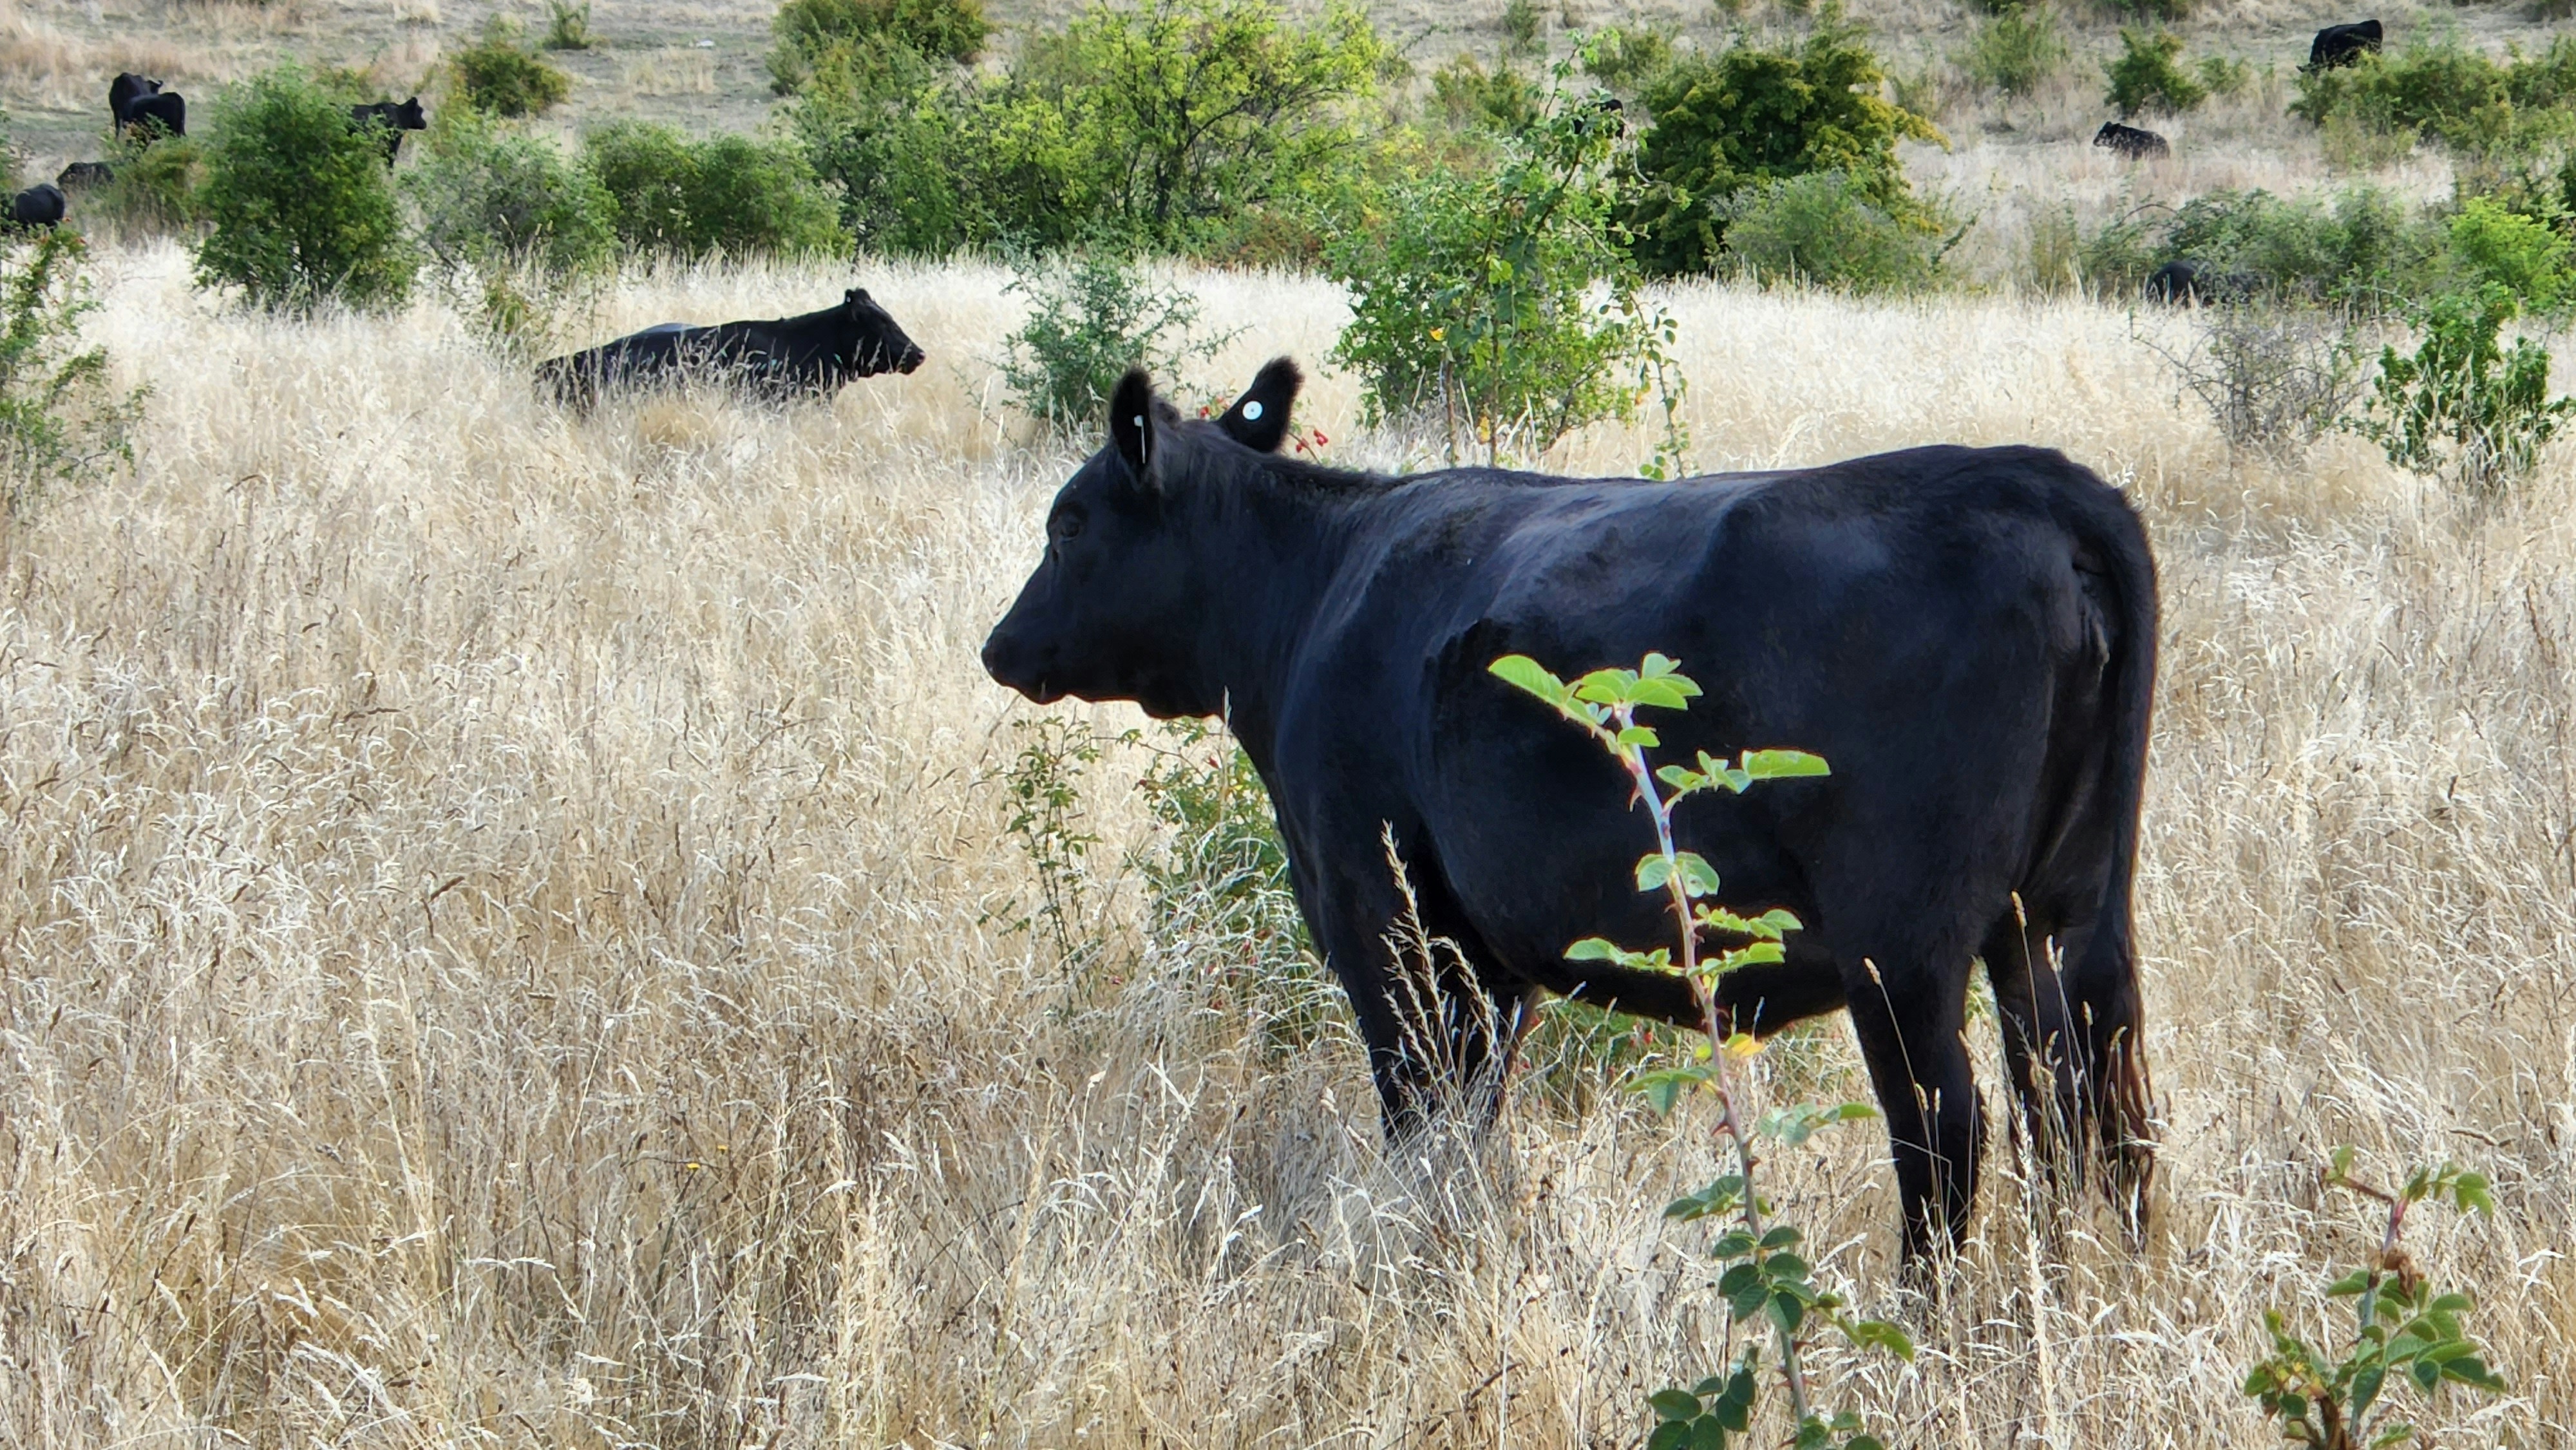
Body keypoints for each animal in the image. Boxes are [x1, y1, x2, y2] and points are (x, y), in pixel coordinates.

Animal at [974, 363, 2164, 1272]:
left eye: (1069, 524)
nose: (1000, 643)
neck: (1312, 592)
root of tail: (2031, 476)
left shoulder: (1379, 913)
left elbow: (1418, 1106)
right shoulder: (1488, 954)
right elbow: (1471, 1116)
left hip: (1905, 943)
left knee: (1947, 1123)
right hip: (2065, 914)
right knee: (2093, 1097)